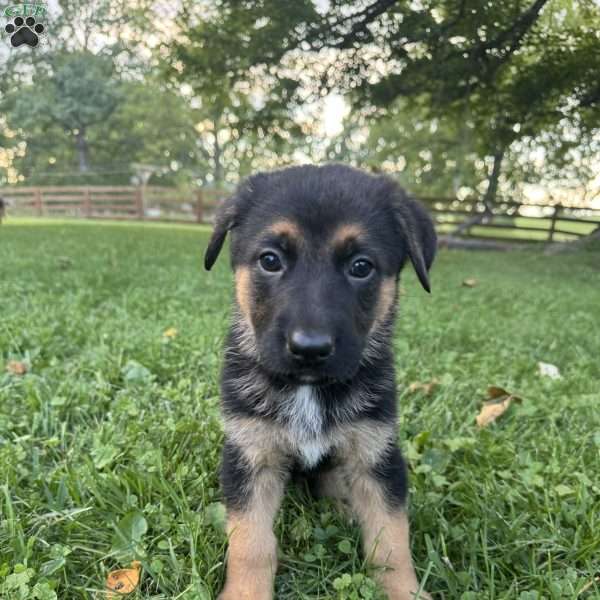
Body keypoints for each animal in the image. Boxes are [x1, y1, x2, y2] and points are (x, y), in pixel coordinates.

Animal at [205, 164, 436, 600]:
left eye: (361, 266)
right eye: (270, 260)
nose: (309, 349)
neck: (308, 389)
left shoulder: (376, 456)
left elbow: (391, 540)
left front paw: (404, 591)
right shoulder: (251, 455)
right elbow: (250, 543)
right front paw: (246, 592)